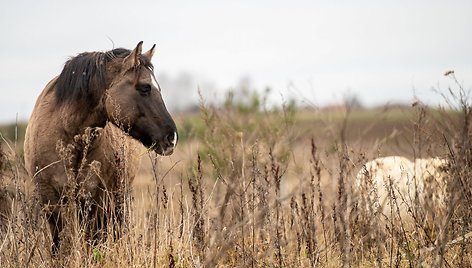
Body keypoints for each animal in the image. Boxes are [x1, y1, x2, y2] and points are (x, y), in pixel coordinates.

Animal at [23, 41, 177, 253]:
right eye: (145, 88)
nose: (172, 137)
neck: (67, 132)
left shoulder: (96, 200)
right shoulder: (50, 201)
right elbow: (59, 244)